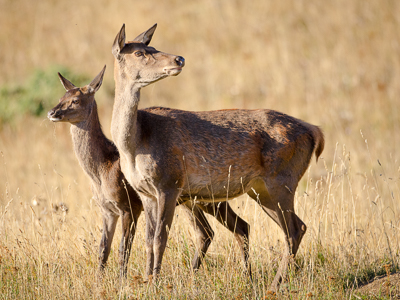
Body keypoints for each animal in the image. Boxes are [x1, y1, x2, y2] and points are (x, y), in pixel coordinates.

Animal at [45, 65, 248, 278]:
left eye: (76, 100)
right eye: (61, 97)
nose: (52, 113)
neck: (102, 169)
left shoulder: (129, 206)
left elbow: (123, 249)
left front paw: (122, 281)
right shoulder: (107, 210)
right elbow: (103, 250)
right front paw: (99, 280)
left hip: (207, 198)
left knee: (235, 227)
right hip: (191, 201)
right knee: (212, 231)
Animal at [111, 23, 324, 290]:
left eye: (153, 47)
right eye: (140, 52)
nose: (179, 59)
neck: (136, 142)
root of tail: (314, 131)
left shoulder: (170, 183)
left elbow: (160, 238)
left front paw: (155, 284)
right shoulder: (146, 192)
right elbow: (149, 240)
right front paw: (148, 280)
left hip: (282, 180)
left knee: (294, 229)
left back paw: (274, 285)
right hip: (260, 190)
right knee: (294, 226)